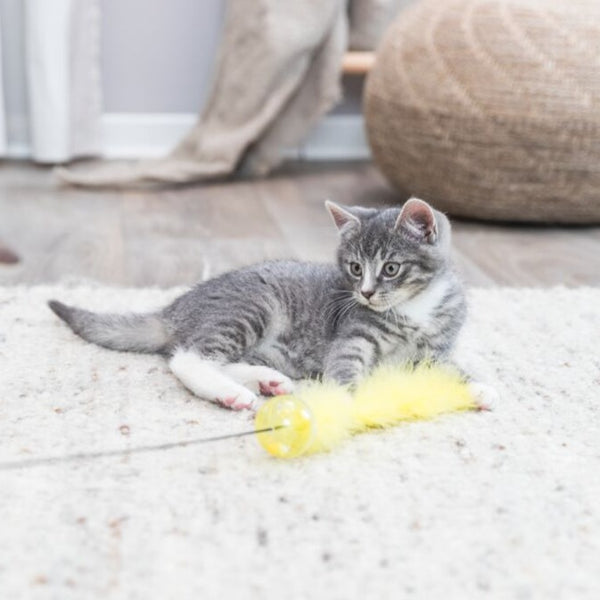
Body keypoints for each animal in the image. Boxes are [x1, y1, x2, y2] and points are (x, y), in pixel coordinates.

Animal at [47, 199, 468, 410]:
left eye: (391, 268)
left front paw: (473, 388)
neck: (417, 308)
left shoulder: (436, 349)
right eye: (355, 268)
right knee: (188, 356)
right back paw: (230, 392)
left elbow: (450, 368)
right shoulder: (352, 337)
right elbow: (346, 367)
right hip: (252, 306)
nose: (364, 293)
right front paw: (353, 404)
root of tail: (175, 309)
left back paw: (265, 380)